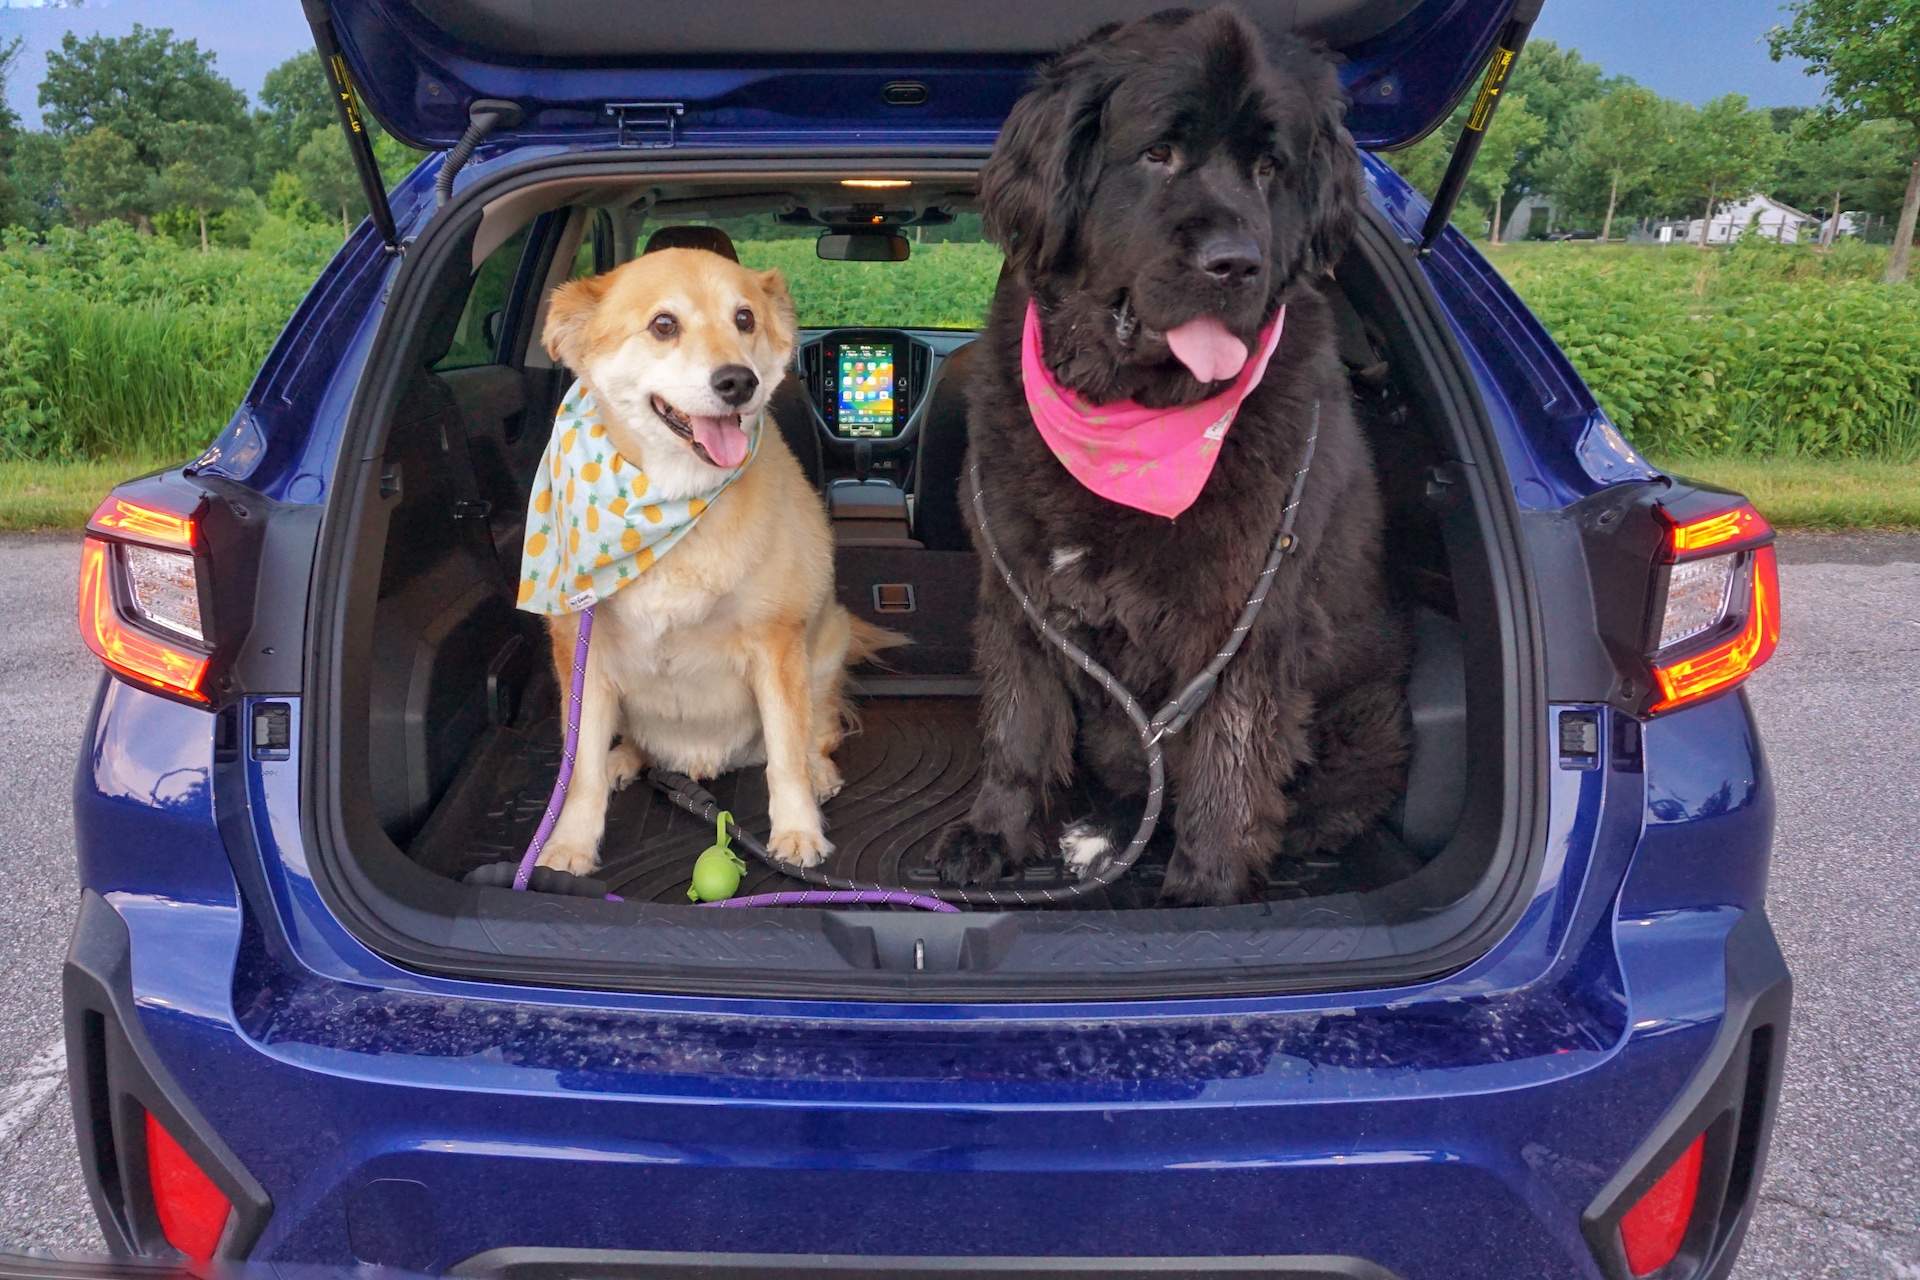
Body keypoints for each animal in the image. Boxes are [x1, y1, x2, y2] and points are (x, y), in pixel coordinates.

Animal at [528, 247, 892, 876]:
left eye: (744, 319)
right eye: (663, 325)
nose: (738, 381)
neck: (672, 503)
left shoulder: (776, 644)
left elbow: (785, 757)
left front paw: (797, 832)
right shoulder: (582, 652)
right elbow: (581, 770)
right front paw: (569, 845)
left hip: (826, 647)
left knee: (816, 731)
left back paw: (819, 772)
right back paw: (628, 758)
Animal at [934, 7, 1409, 907]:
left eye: (1269, 167)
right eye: (1158, 153)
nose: (1236, 264)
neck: (1125, 418)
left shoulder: (1247, 614)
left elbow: (1231, 756)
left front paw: (1210, 883)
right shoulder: (1015, 588)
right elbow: (1018, 723)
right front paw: (995, 834)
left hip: (1364, 714)